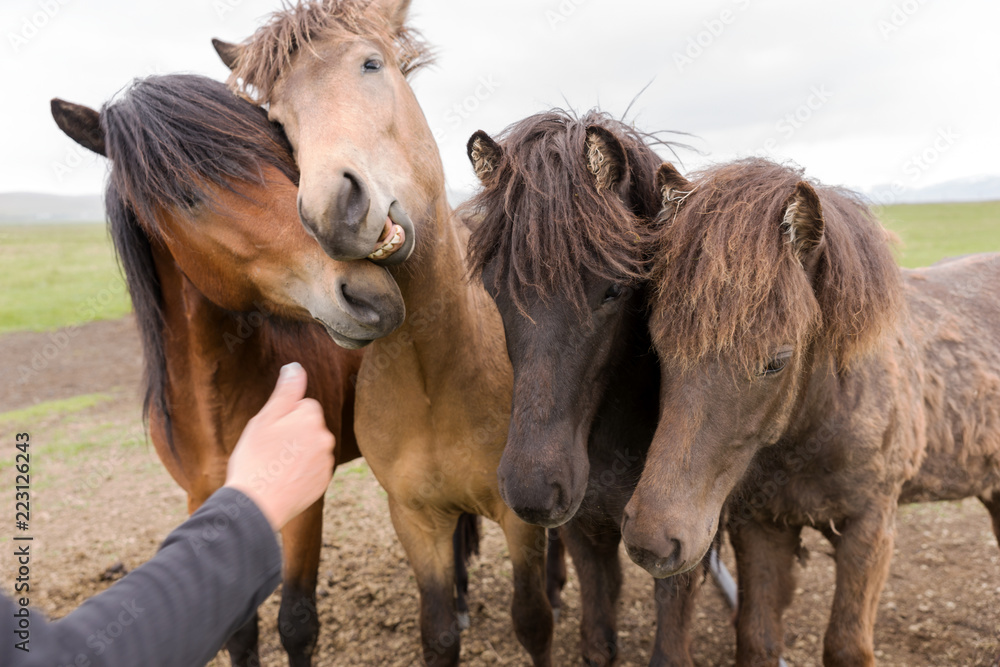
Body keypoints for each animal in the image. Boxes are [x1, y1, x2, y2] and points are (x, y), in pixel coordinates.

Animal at [50, 73, 410, 667]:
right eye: (187, 195)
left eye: (283, 164)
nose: (370, 296)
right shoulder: (205, 500)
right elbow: (239, 631)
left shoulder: (306, 502)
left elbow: (297, 624)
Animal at [212, 1, 556, 663]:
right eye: (278, 119)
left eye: (371, 64)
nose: (332, 209)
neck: (436, 369)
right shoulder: (415, 519)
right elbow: (438, 631)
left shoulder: (522, 518)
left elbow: (533, 620)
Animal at [463, 111, 704, 666]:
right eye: (493, 288)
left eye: (615, 289)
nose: (532, 491)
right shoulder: (583, 531)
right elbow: (597, 636)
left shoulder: (681, 548)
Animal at [621, 157, 1000, 666]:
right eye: (659, 345)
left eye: (776, 361)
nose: (652, 541)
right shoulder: (760, 529)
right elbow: (757, 639)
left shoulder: (870, 530)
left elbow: (846, 647)